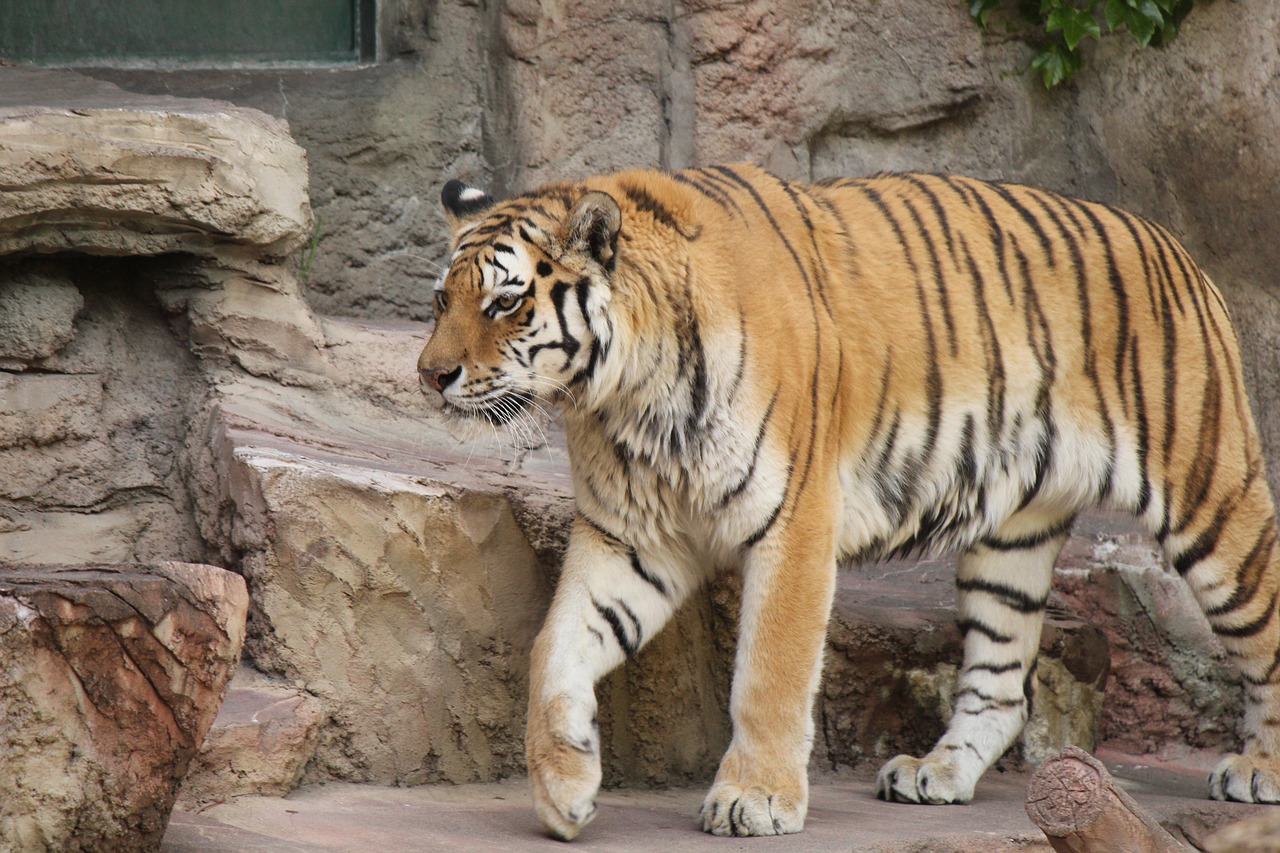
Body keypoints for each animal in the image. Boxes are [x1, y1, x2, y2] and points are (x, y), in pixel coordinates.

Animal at [417, 162, 1280, 835]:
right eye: (440, 302)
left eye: (504, 303)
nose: (430, 375)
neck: (626, 394)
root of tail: (1177, 249)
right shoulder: (631, 536)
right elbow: (555, 644)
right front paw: (564, 788)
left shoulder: (794, 518)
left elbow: (770, 669)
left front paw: (754, 798)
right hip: (1011, 541)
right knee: (1001, 682)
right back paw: (935, 772)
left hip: (1212, 501)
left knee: (1262, 625)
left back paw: (1258, 766)